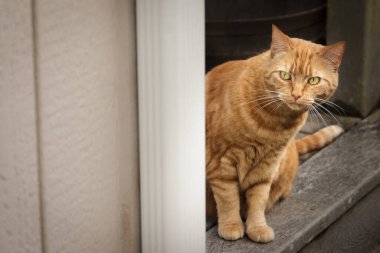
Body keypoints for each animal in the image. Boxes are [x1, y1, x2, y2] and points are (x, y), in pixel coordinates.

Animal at [206, 24, 346, 242]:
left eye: (313, 80)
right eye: (285, 76)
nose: (296, 94)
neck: (274, 124)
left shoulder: (267, 165)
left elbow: (258, 199)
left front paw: (257, 227)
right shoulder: (221, 163)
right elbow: (228, 199)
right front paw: (231, 226)